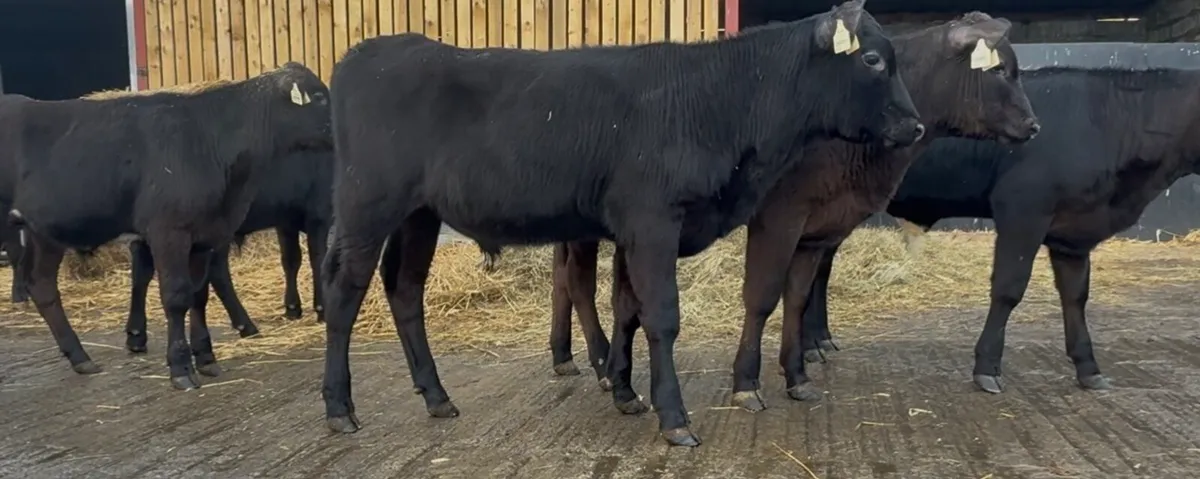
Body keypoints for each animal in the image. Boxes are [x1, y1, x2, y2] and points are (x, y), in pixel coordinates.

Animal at [122, 147, 334, 356]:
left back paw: (136, 334)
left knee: (141, 268)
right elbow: (318, 260)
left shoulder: (286, 219)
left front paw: (292, 307)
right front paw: (322, 308)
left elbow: (291, 260)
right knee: (217, 274)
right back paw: (245, 325)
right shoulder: (319, 214)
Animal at [320, 0, 924, 447]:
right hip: (365, 205)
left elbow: (629, 308)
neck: (717, 101)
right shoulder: (653, 221)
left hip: (418, 215)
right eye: (873, 60)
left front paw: (625, 391)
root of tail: (369, 51)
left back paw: (437, 396)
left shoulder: (637, 231)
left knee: (404, 290)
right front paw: (673, 417)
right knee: (344, 292)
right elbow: (662, 317)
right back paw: (339, 407)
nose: (915, 126)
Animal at [535, 13, 1040, 412]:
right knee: (578, 283)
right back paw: (600, 362)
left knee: (564, 281)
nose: (1034, 125)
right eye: (1002, 71)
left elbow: (797, 296)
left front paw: (797, 372)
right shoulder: (780, 215)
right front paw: (747, 381)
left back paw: (565, 357)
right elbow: (762, 296)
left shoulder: (817, 227)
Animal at [800, 64, 1200, 395]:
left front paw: (1088, 368)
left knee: (820, 264)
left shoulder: (1072, 235)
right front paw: (987, 367)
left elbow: (1075, 296)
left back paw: (817, 341)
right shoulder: (1022, 210)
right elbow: (1009, 289)